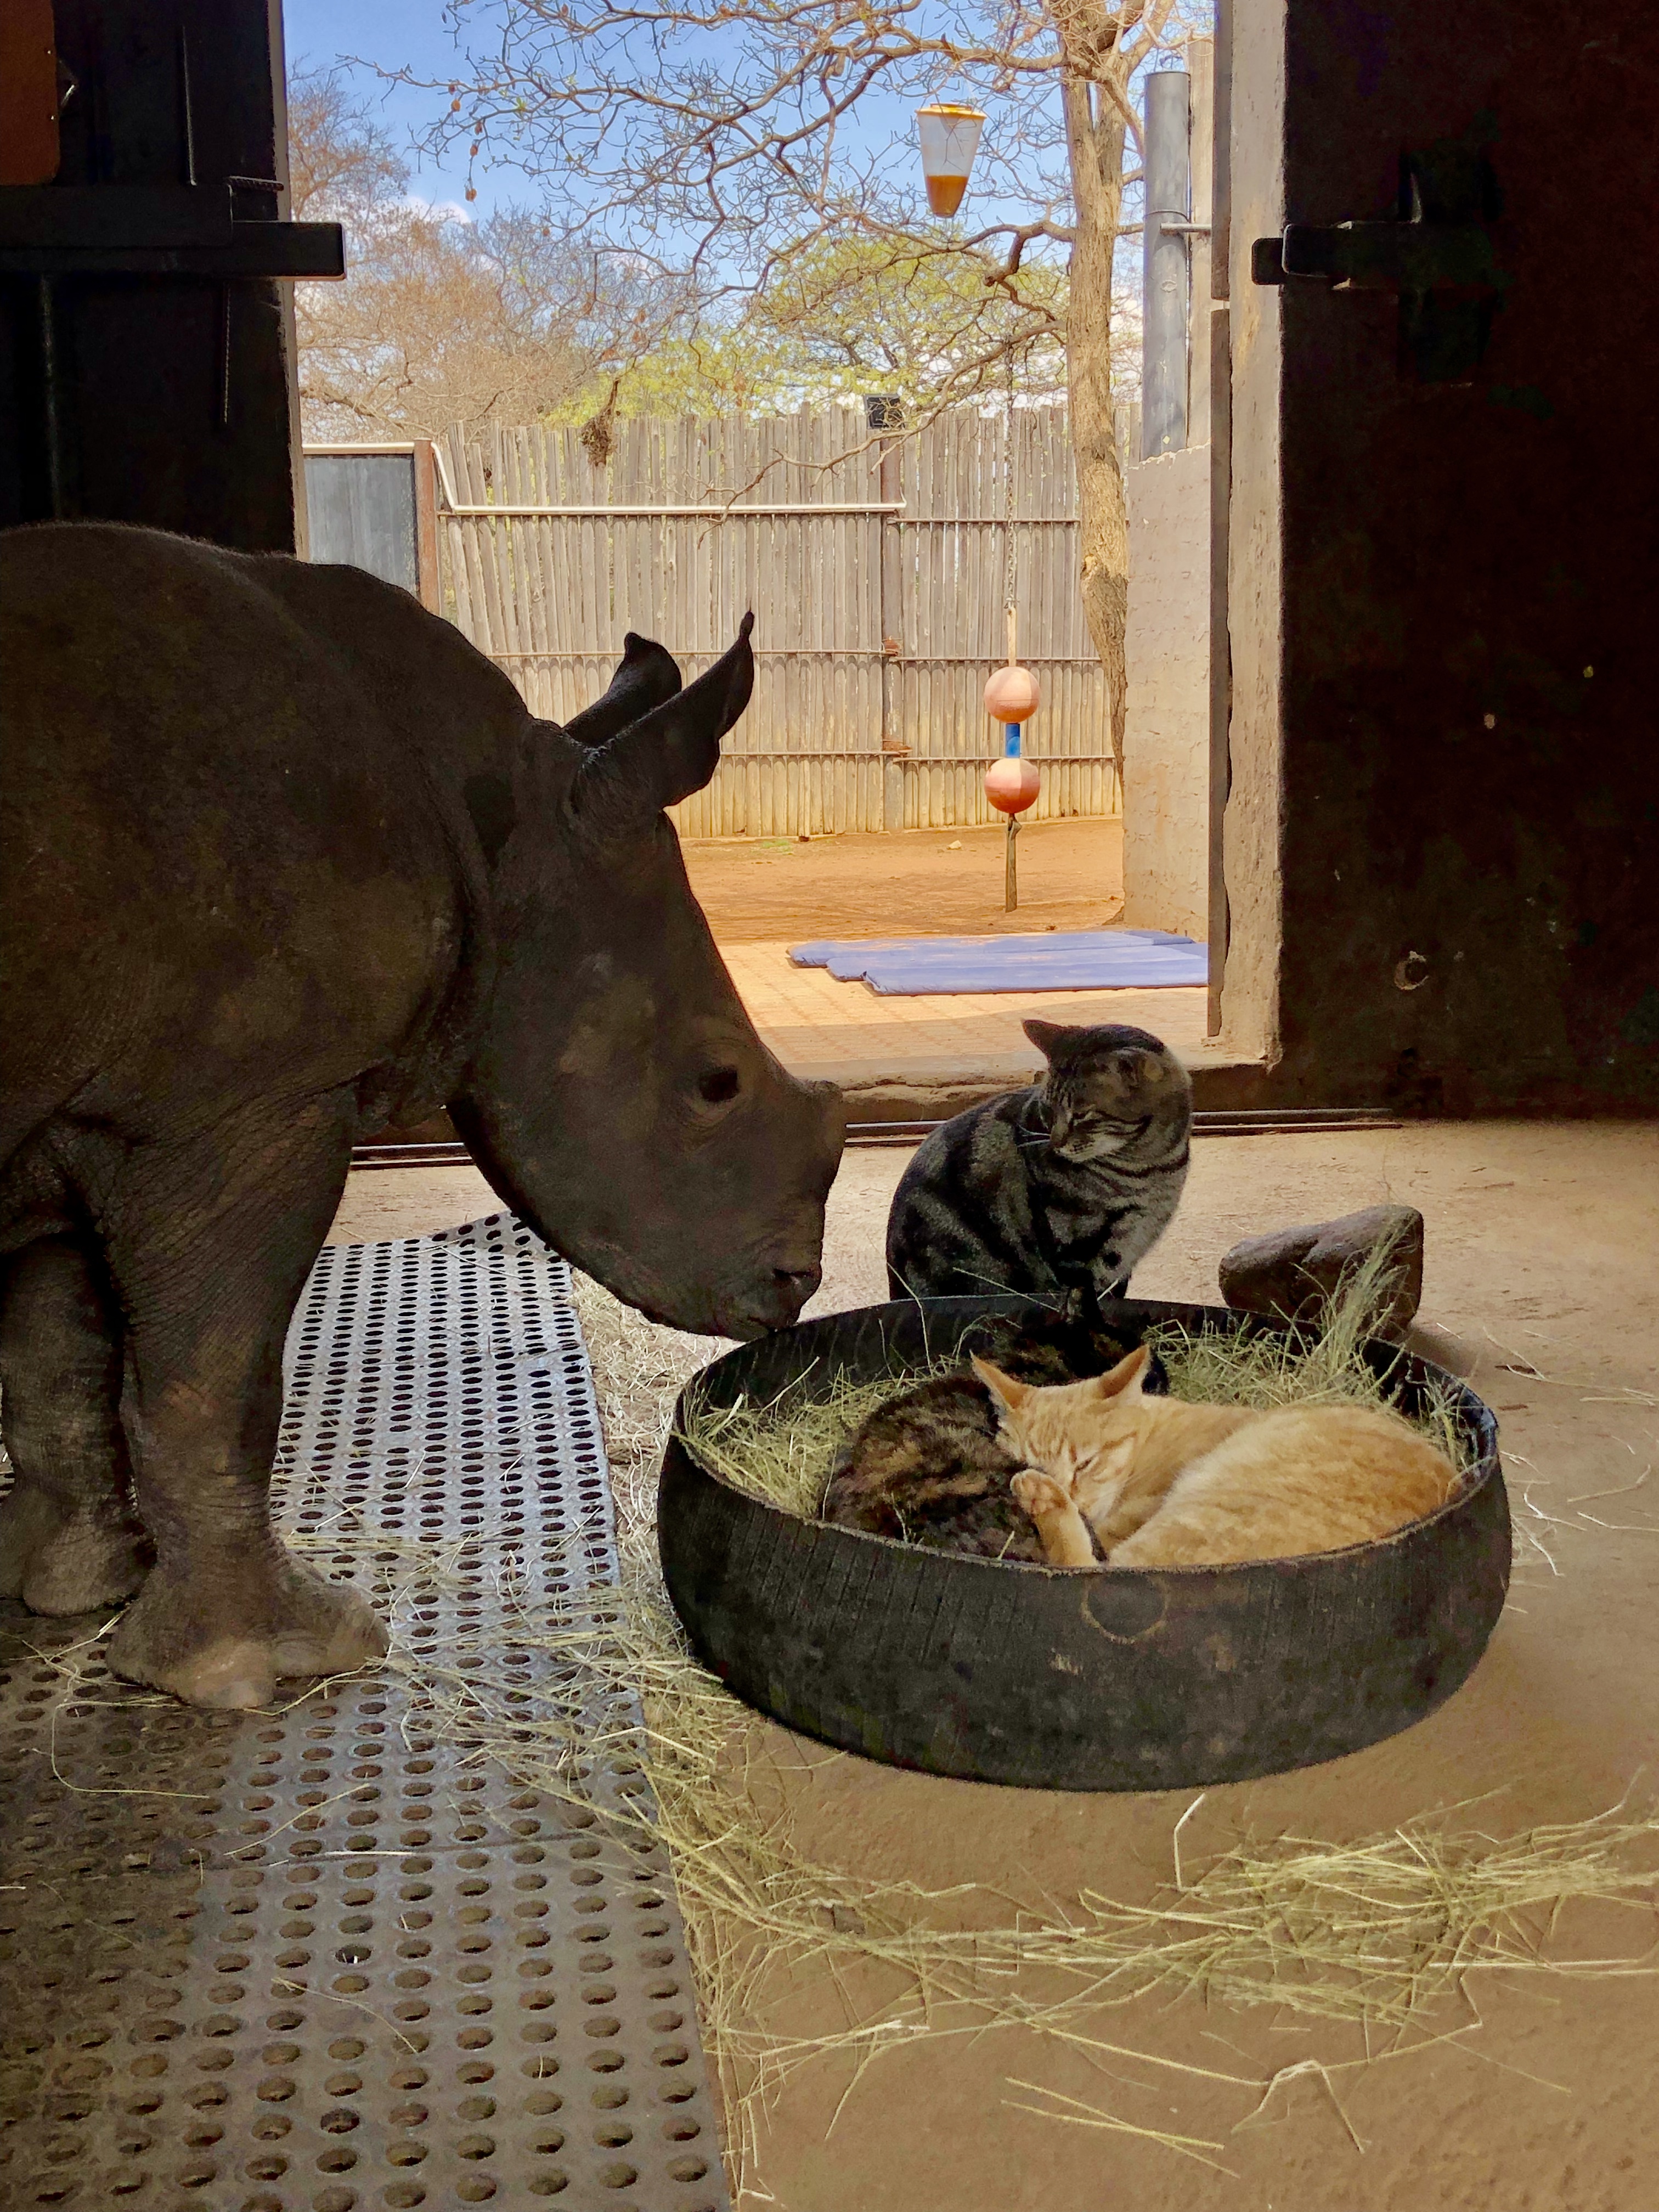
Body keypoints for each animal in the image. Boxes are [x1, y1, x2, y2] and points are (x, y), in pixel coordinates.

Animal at [0, 523, 843, 1709]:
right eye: (713, 1082)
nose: (792, 1284)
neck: (502, 826)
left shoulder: (94, 1103)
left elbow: (52, 1350)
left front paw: (74, 1583)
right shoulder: (245, 1101)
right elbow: (217, 1373)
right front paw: (269, 1665)